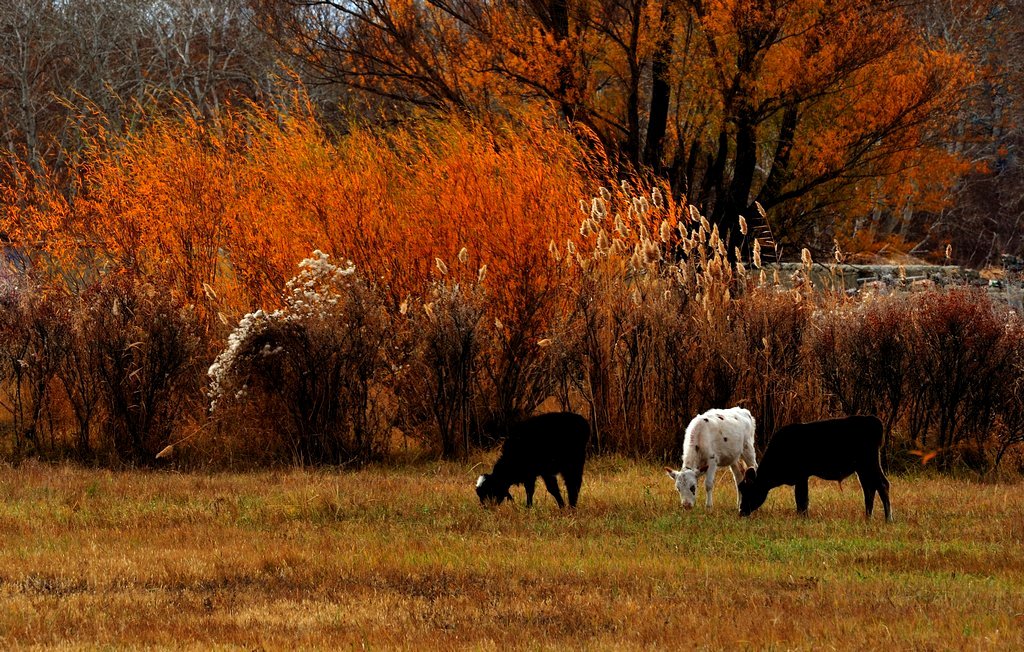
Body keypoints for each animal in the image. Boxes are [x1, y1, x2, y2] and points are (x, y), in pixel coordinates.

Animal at [741, 413, 892, 522]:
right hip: (862, 468)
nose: (741, 511)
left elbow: (802, 499)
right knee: (869, 488)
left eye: (749, 490)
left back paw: (888, 519)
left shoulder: (801, 476)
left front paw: (802, 518)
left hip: (869, 463)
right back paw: (868, 517)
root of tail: (872, 420)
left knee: (882, 484)